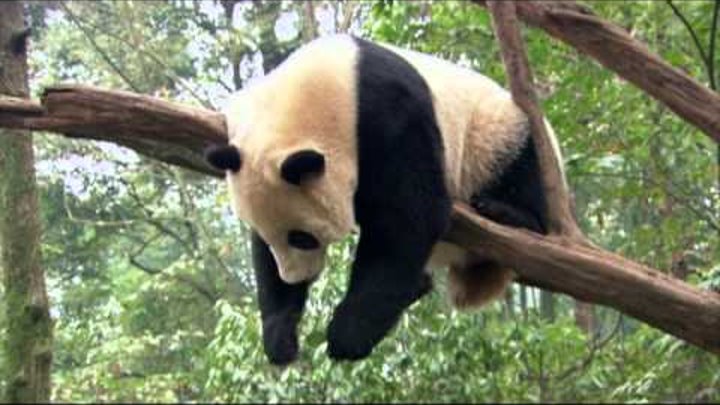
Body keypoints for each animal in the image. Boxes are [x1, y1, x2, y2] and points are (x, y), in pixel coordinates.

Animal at [205, 35, 566, 364]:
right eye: (271, 237)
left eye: (302, 238)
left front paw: (347, 335)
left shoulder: (390, 116)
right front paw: (281, 335)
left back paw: (508, 214)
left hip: (495, 131)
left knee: (521, 160)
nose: (294, 277)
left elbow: (409, 215)